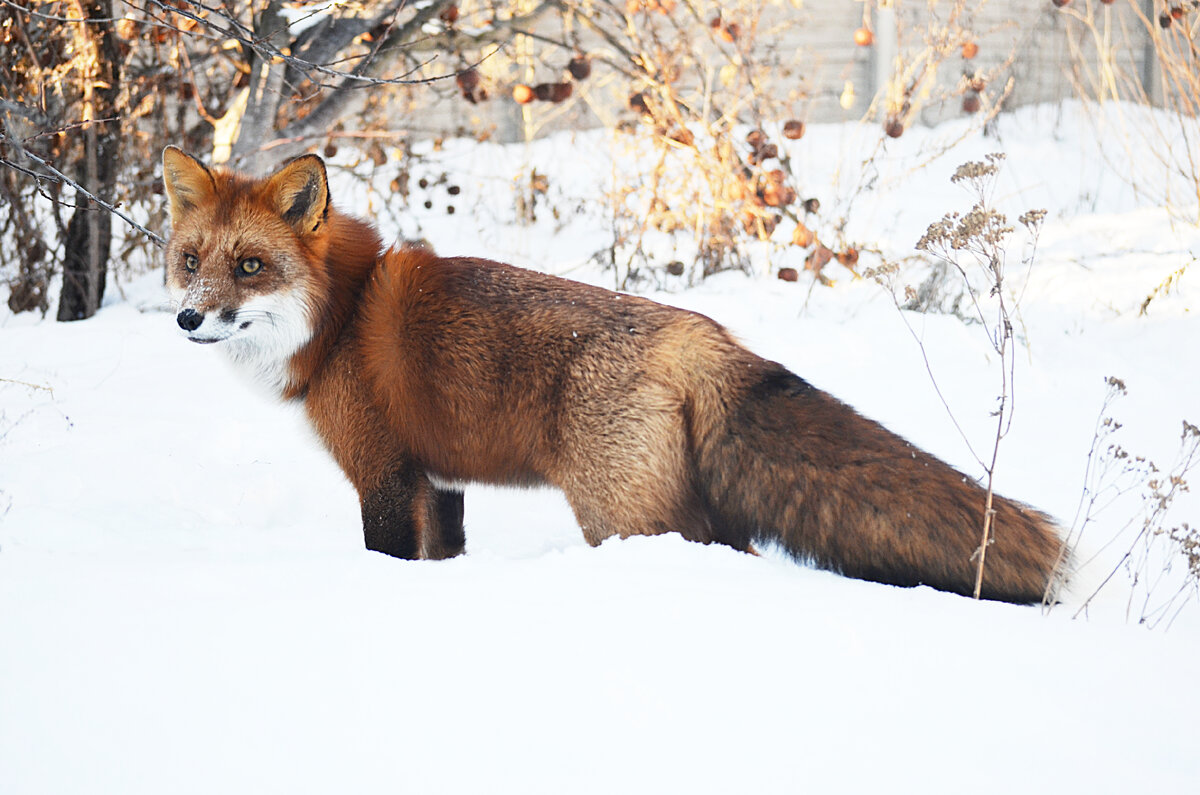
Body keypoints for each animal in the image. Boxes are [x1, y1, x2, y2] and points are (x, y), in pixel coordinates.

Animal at [162, 146, 1070, 605]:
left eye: (250, 266)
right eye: (191, 262)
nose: (187, 320)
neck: (342, 314)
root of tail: (699, 333)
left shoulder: (384, 475)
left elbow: (389, 559)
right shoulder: (440, 480)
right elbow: (447, 556)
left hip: (623, 516)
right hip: (681, 509)